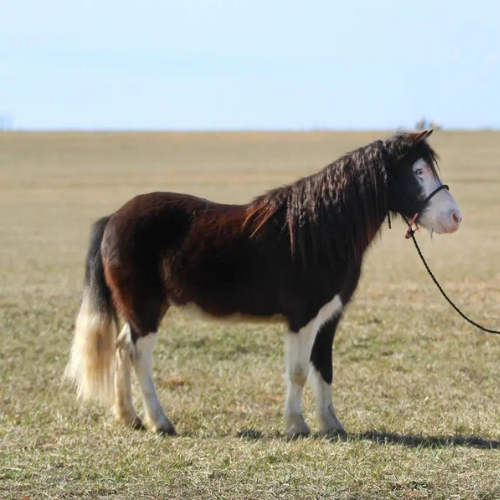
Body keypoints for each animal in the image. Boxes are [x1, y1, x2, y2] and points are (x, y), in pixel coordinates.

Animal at [65, 131, 460, 436]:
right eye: (418, 170)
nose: (455, 217)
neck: (320, 230)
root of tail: (113, 218)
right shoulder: (303, 318)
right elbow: (298, 372)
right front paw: (296, 426)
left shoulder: (328, 318)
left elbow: (324, 369)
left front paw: (331, 425)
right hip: (144, 308)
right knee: (138, 356)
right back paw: (159, 422)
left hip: (136, 310)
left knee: (120, 349)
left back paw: (128, 417)